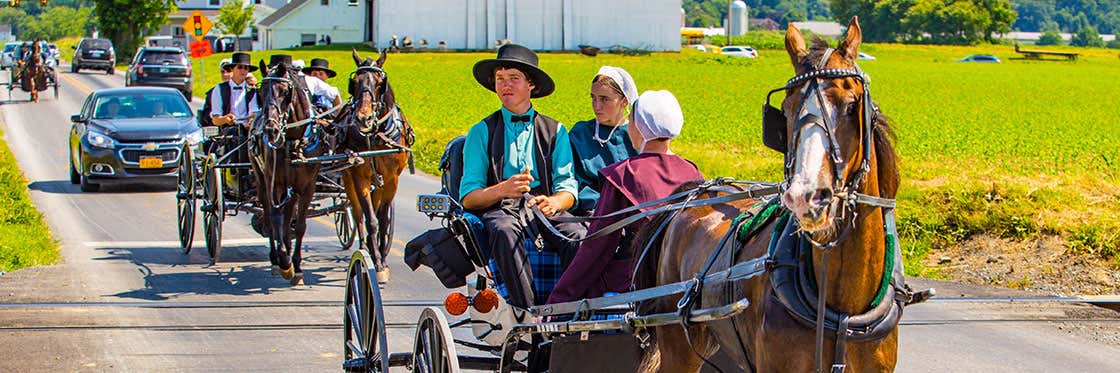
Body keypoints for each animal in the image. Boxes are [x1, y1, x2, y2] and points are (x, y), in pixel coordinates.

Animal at [252, 59, 327, 283]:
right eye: (261, 91)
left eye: (285, 91)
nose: (271, 130)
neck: (293, 140)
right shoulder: (274, 183)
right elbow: (276, 219)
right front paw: (284, 262)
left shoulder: (307, 186)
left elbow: (300, 225)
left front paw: (297, 266)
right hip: (262, 180)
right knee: (270, 216)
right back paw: (275, 258)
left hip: (293, 188)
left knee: (288, 215)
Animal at [333, 48, 418, 282]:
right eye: (355, 82)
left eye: (380, 83)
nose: (364, 118)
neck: (375, 135)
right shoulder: (359, 176)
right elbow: (369, 218)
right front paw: (377, 262)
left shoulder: (391, 179)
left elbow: (382, 219)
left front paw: (382, 258)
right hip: (348, 179)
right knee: (357, 212)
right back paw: (364, 248)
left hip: (378, 181)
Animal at [636, 18, 904, 371]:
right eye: (786, 110)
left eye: (851, 106)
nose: (807, 196)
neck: (842, 308)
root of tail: (696, 194)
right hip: (677, 343)